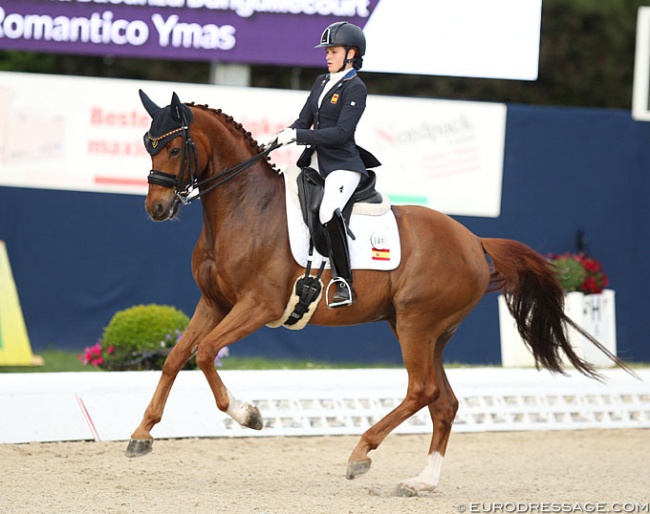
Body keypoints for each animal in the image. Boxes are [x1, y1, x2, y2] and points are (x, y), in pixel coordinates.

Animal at [126, 91, 624, 492]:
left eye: (175, 147)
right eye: (148, 144)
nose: (157, 208)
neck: (245, 207)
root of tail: (473, 240)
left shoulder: (257, 306)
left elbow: (208, 353)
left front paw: (248, 415)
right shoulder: (214, 302)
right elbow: (177, 357)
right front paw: (141, 435)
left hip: (416, 325)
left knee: (421, 390)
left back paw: (361, 453)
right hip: (426, 332)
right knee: (444, 402)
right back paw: (422, 482)